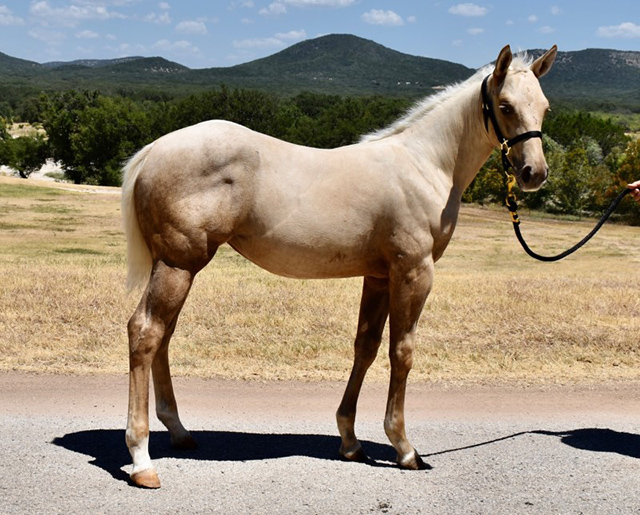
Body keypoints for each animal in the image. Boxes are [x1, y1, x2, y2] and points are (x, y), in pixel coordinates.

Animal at [122, 44, 556, 488]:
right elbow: (402, 352)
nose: (534, 173)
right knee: (145, 332)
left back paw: (178, 431)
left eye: (544, 107)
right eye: (505, 106)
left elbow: (365, 348)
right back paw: (142, 459)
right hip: (179, 265)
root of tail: (154, 151)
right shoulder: (413, 272)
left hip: (175, 268)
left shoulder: (379, 276)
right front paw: (404, 448)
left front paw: (350, 440)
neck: (426, 164)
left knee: (163, 335)